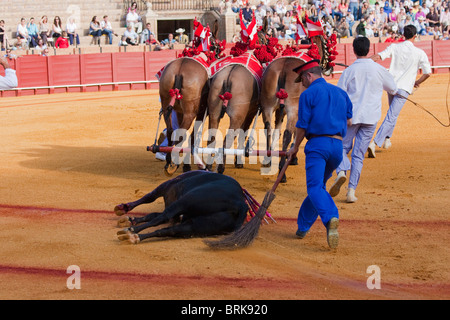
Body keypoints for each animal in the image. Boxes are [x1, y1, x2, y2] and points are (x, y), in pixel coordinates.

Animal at [258, 35, 332, 182]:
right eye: (326, 45)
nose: (328, 68)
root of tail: (283, 68)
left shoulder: (279, 112)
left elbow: (277, 131)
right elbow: (295, 134)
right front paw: (293, 158)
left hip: (267, 106)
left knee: (268, 129)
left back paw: (268, 160)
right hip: (292, 109)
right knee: (287, 134)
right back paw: (282, 171)